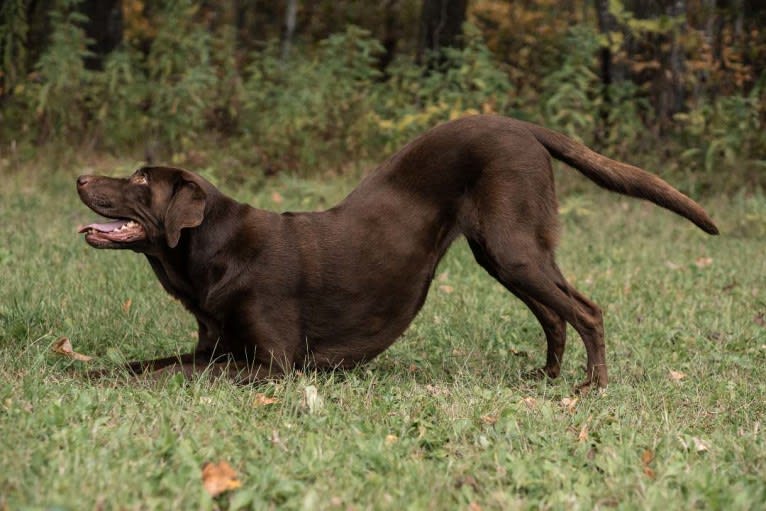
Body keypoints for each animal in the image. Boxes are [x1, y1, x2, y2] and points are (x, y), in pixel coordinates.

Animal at [75, 114, 716, 390]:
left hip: (513, 249)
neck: (215, 251)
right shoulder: (215, 348)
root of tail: (521, 124)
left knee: (586, 310)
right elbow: (146, 364)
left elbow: (172, 375)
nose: (79, 178)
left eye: (140, 178)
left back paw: (592, 387)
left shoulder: (271, 365)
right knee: (557, 315)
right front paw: (90, 371)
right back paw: (547, 376)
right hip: (504, 254)